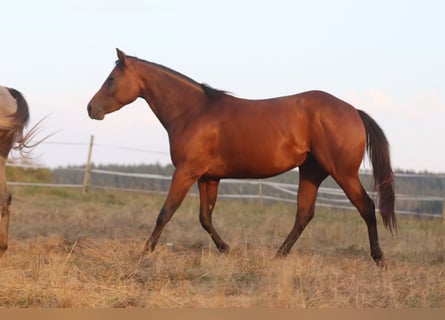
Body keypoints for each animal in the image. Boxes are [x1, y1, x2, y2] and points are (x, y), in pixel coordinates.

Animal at [87, 49, 396, 264]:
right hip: (311, 172)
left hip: (342, 172)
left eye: (111, 79)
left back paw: (379, 258)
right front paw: (227, 249)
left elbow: (165, 213)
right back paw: (278, 256)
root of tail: (354, 111)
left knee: (366, 207)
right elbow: (205, 218)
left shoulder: (186, 172)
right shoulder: (209, 178)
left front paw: (144, 253)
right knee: (304, 215)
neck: (193, 112)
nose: (91, 109)